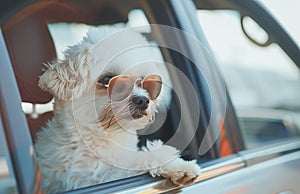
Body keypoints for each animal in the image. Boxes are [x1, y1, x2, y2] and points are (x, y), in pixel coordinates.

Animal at [34, 26, 200, 192]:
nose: (143, 100)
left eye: (146, 82)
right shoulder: (85, 178)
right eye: (108, 79)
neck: (105, 136)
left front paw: (178, 164)